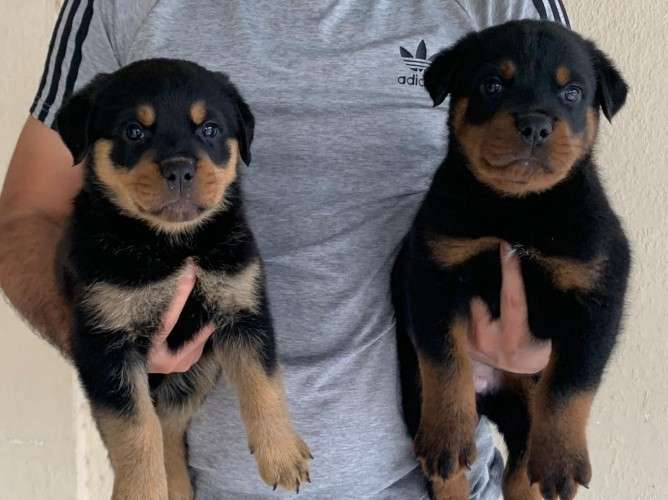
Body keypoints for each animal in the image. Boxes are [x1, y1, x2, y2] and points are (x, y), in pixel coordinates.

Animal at [54, 59, 311, 500]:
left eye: (209, 129)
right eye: (133, 131)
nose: (179, 169)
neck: (172, 245)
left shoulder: (243, 308)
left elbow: (264, 382)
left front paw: (281, 453)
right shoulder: (105, 345)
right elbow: (135, 429)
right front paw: (141, 491)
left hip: (194, 374)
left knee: (171, 429)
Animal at [392, 20, 630, 500]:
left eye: (572, 92)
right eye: (492, 84)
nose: (535, 124)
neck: (517, 211)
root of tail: (490, 393)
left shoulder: (599, 288)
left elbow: (572, 381)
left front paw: (561, 460)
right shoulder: (432, 270)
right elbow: (444, 361)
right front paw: (448, 432)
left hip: (524, 403)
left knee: (522, 466)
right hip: (413, 393)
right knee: (445, 468)